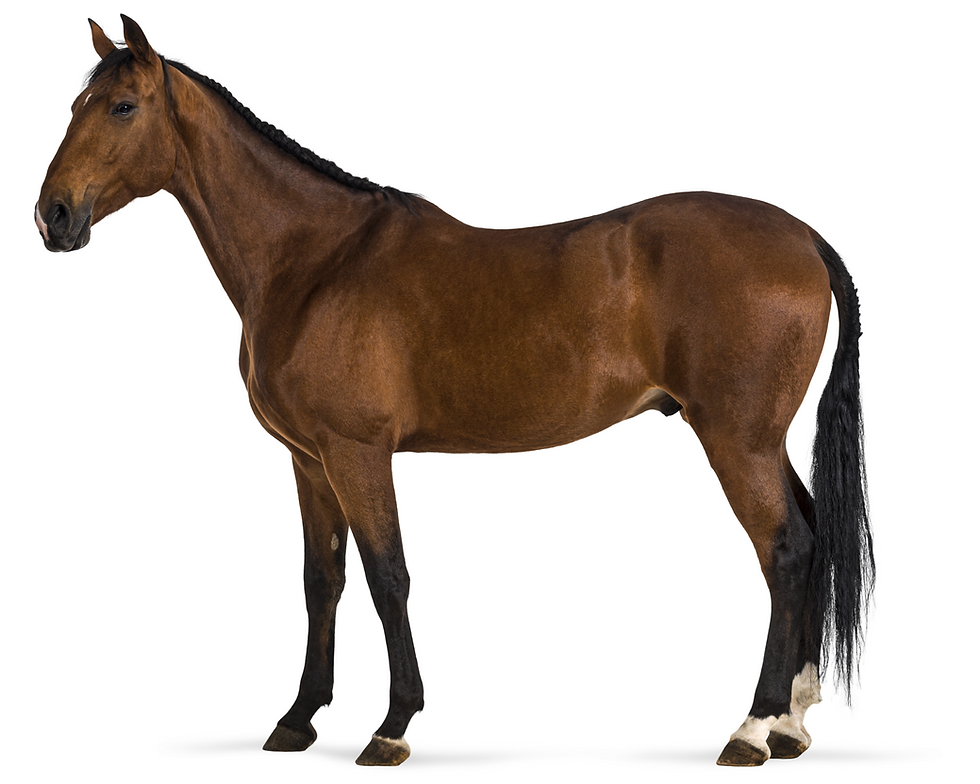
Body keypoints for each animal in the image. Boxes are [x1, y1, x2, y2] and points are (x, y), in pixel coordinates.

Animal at [35, 16, 873, 767]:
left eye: (122, 106)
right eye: (77, 105)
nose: (53, 215)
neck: (315, 261)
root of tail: (803, 237)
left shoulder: (357, 453)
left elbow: (388, 577)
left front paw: (392, 726)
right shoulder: (307, 460)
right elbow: (322, 580)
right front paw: (299, 718)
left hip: (736, 440)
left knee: (786, 550)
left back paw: (753, 727)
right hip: (762, 440)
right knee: (808, 538)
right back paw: (792, 723)